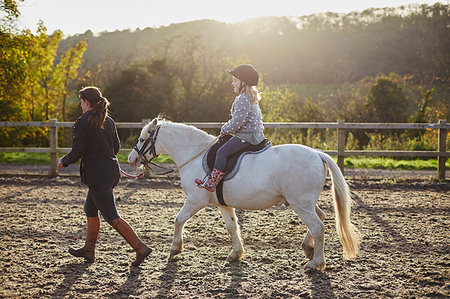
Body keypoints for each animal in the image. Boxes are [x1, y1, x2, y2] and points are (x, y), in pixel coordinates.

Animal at [128, 118, 360, 270]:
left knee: (318, 226)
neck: (194, 153)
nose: (132, 158)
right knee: (320, 217)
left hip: (300, 204)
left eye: (141, 138)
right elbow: (232, 227)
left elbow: (178, 219)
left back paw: (316, 263)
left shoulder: (196, 200)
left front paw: (175, 248)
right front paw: (235, 254)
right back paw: (308, 248)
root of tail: (317, 153)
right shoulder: (223, 204)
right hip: (304, 203)